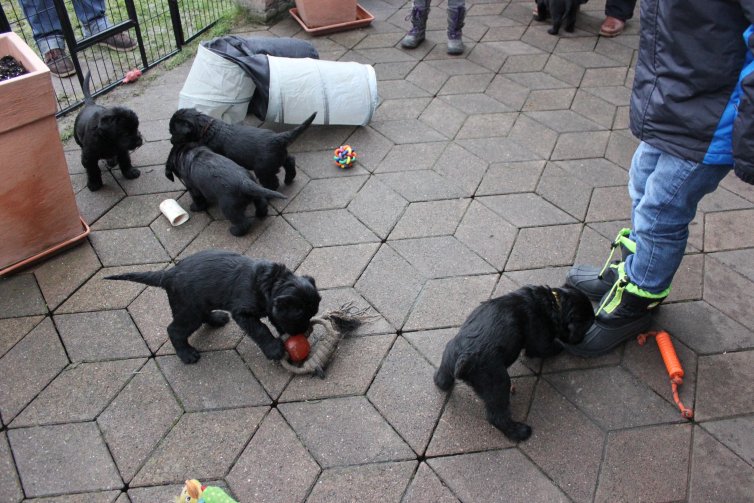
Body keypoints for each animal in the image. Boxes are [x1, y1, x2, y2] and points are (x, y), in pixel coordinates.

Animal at [106, 249, 318, 364]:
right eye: (299, 317)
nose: (306, 332)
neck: (270, 281)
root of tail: (167, 274)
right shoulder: (243, 312)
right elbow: (260, 329)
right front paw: (274, 349)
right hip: (189, 311)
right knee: (174, 330)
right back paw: (187, 354)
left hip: (198, 304)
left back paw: (217, 319)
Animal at [169, 109, 316, 191]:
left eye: (173, 132)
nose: (170, 141)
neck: (206, 128)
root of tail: (277, 138)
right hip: (280, 156)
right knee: (290, 161)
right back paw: (289, 179)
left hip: (263, 169)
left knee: (272, 181)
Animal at [432, 286, 592, 442]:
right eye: (586, 327)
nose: (583, 339)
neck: (554, 302)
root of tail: (463, 359)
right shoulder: (539, 340)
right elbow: (546, 347)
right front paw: (561, 346)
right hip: (498, 382)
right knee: (497, 416)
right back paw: (519, 432)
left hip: (448, 356)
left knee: (442, 380)